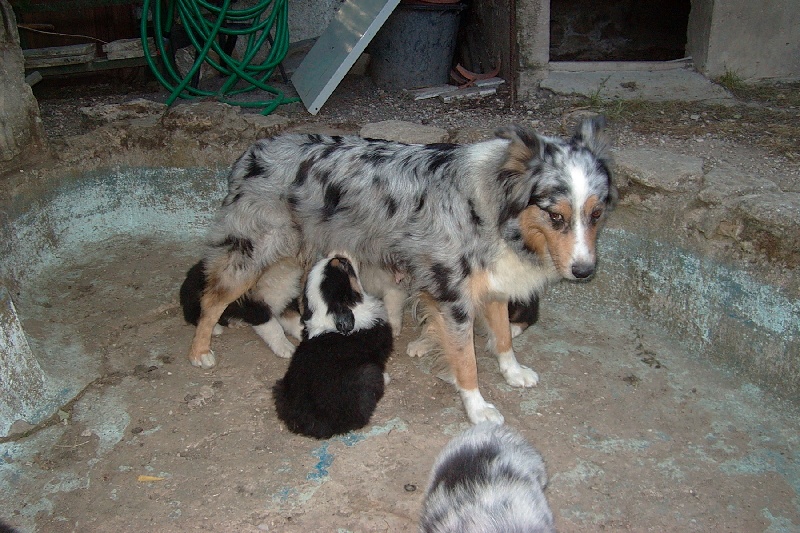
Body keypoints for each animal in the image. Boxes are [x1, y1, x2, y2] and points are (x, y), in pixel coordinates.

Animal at [272, 252, 394, 436]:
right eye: (343, 265)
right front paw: (386, 377)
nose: (340, 255)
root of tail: (311, 420)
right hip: (368, 374)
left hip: (279, 387)